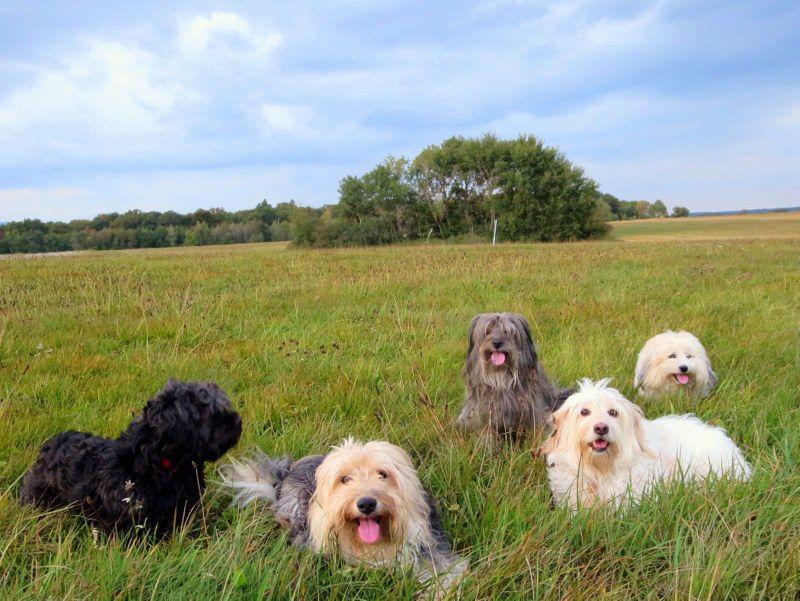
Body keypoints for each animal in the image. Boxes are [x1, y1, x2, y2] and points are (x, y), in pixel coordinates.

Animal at [220, 436, 468, 596]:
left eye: (383, 474)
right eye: (345, 479)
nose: (366, 504)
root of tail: (285, 475)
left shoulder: (431, 545)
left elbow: (449, 573)